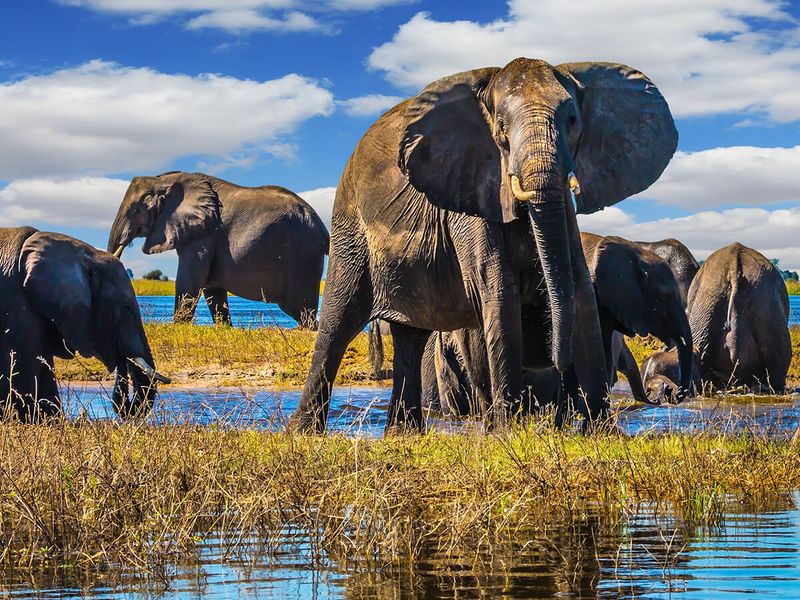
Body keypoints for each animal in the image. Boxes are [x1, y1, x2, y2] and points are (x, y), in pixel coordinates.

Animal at [108, 172, 329, 327]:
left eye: (135, 211)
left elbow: (190, 281)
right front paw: (225, 328)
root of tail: (323, 228)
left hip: (302, 256)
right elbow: (212, 289)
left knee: (300, 309)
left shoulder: (204, 236)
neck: (164, 181)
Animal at [292, 57, 677, 433]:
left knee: (411, 337)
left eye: (571, 121)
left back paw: (403, 433)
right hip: (349, 224)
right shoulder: (470, 191)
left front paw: (603, 434)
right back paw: (303, 432)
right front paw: (509, 433)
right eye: (502, 129)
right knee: (338, 322)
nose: (555, 360)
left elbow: (580, 291)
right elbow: (498, 291)